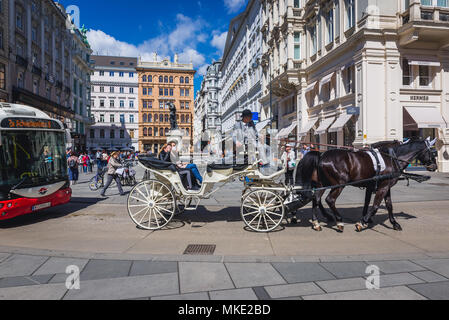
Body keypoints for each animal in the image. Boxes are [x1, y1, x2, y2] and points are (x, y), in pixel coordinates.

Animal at [294, 138, 438, 232]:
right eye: (433, 152)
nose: (434, 166)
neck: (391, 158)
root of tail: (321, 154)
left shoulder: (382, 186)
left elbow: (386, 205)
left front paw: (393, 223)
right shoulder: (383, 187)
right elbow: (375, 206)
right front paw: (362, 222)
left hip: (321, 184)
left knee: (316, 199)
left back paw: (316, 222)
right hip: (339, 184)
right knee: (330, 200)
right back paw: (339, 221)